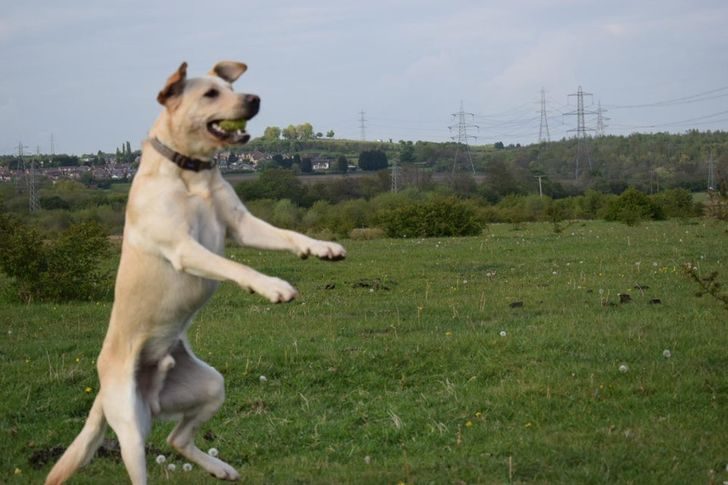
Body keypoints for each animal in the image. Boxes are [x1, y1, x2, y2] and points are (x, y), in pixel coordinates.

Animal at [45, 62, 346, 482]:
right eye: (210, 94)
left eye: (230, 87)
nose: (254, 99)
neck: (191, 170)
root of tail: (104, 390)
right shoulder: (184, 247)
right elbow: (233, 265)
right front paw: (271, 286)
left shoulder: (242, 226)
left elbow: (287, 234)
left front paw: (321, 248)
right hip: (131, 429)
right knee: (145, 458)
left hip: (210, 386)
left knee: (177, 439)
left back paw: (221, 468)